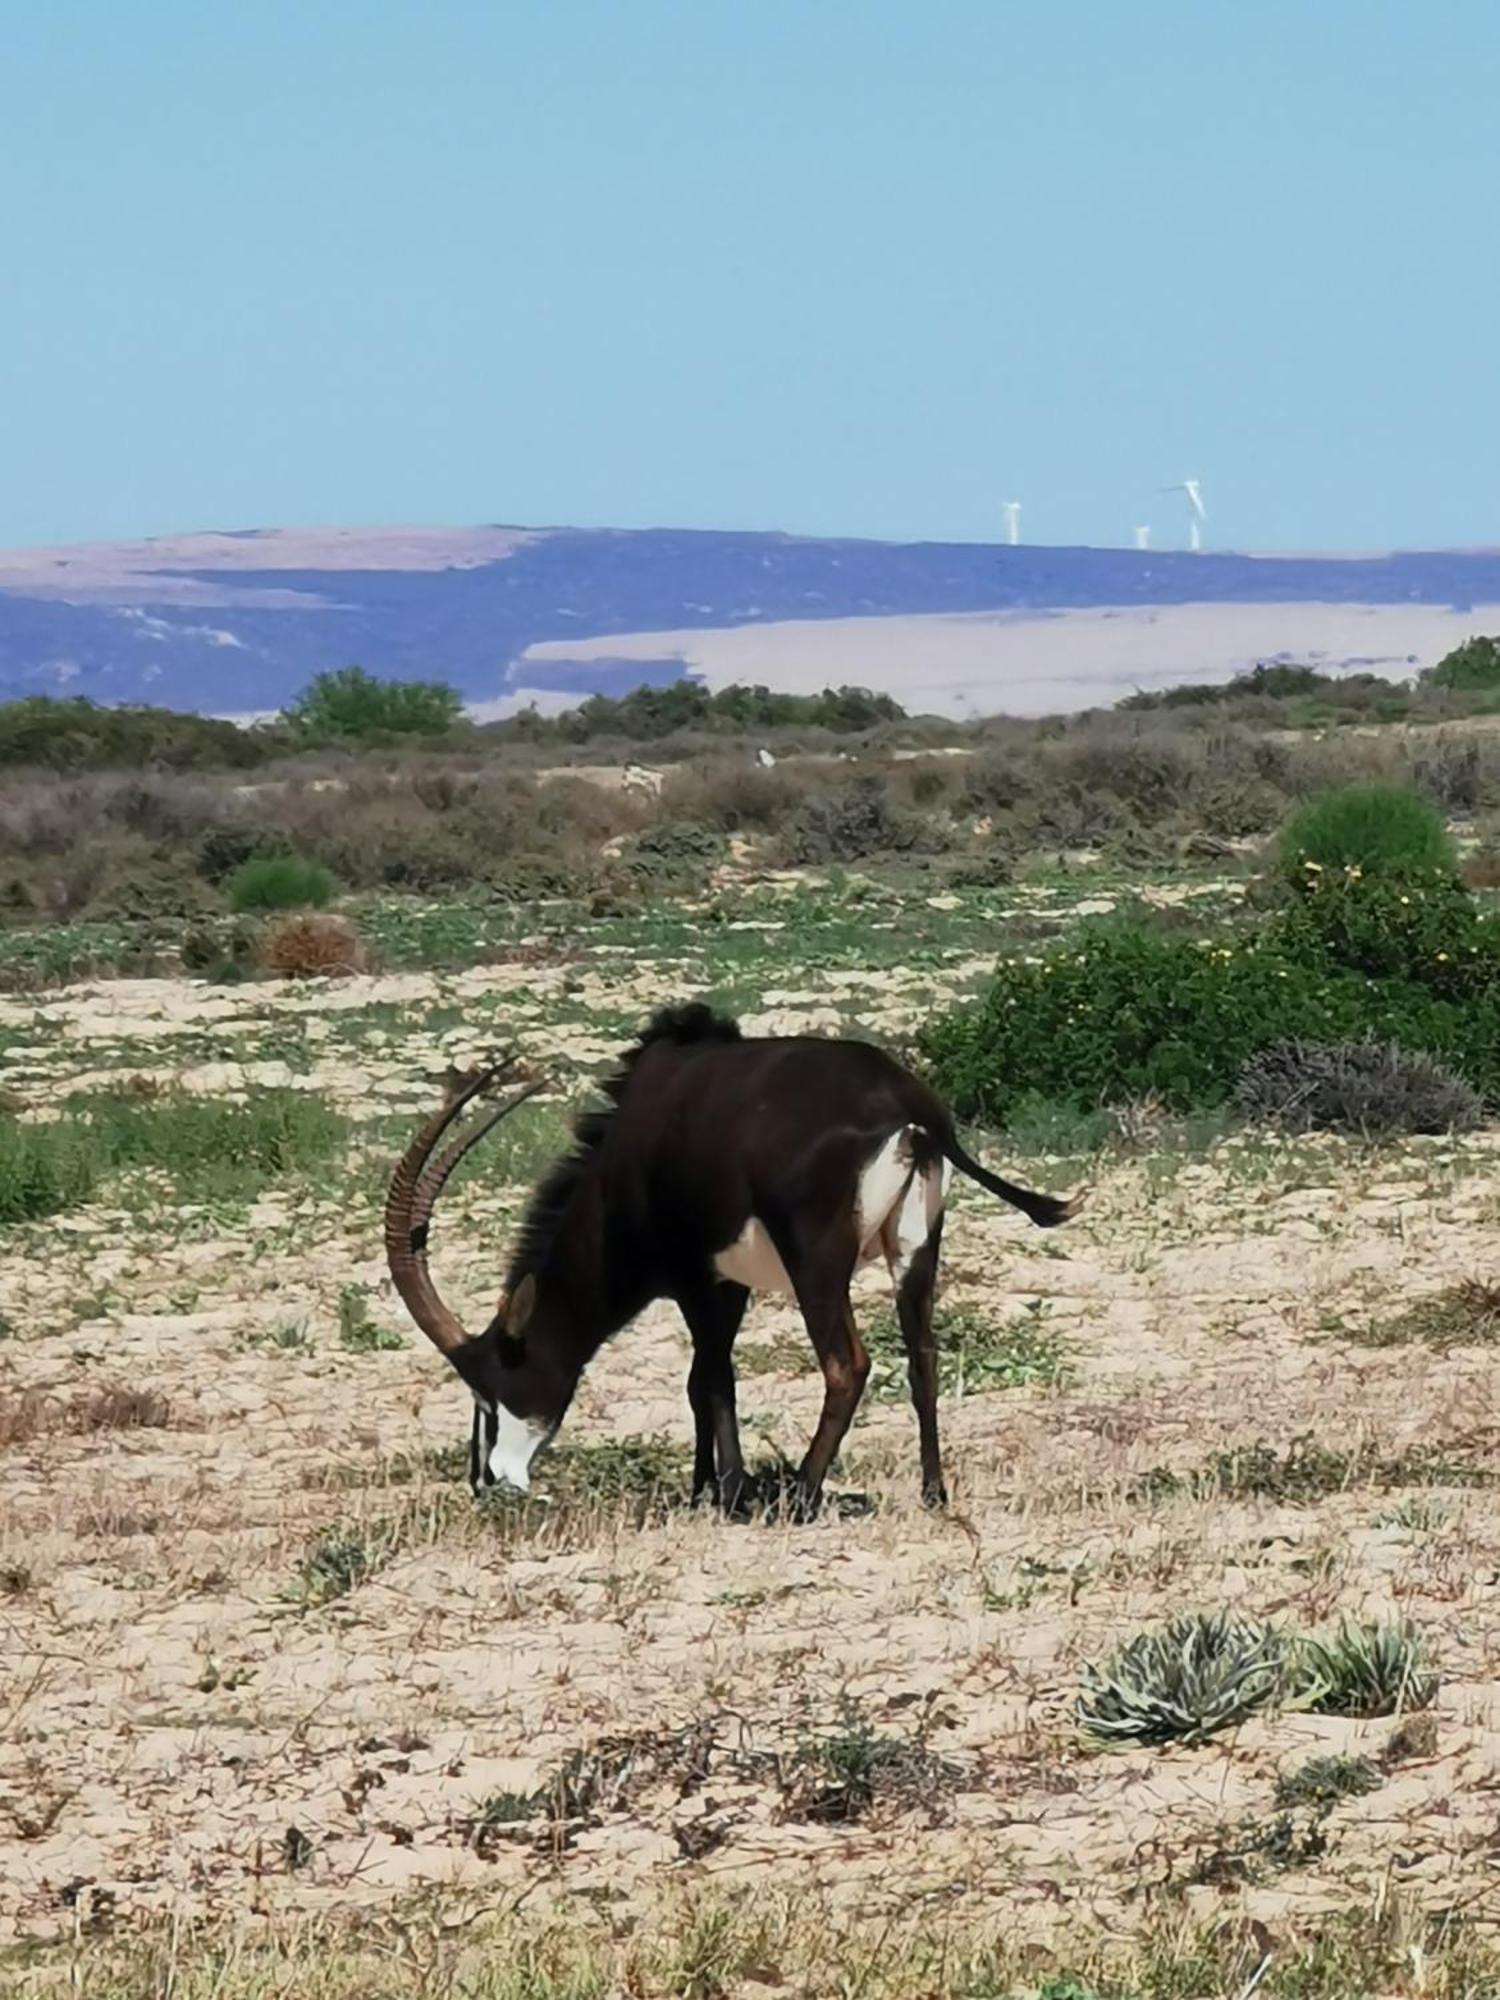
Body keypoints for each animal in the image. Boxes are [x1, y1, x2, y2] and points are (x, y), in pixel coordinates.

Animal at [388, 1008, 1080, 1504]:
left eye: (487, 1388)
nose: (486, 1481)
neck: (625, 1162)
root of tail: (909, 1107)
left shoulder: (696, 1280)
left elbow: (710, 1380)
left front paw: (724, 1489)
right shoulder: (730, 1285)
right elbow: (708, 1378)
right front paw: (710, 1485)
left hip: (816, 1262)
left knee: (847, 1366)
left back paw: (801, 1493)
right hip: (914, 1247)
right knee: (923, 1354)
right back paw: (932, 1492)